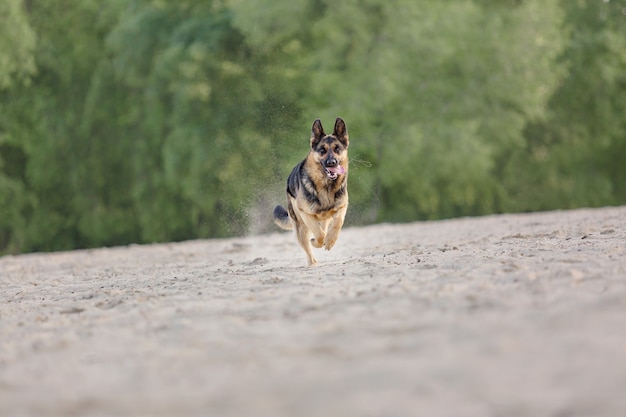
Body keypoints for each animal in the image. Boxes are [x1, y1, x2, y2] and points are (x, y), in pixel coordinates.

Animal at [272, 117, 348, 264]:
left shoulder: (342, 207)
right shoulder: (305, 213)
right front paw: (318, 242)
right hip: (300, 227)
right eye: (322, 150)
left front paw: (330, 240)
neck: (326, 186)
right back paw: (313, 262)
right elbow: (318, 234)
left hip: (324, 219)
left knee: (325, 227)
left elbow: (337, 224)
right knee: (309, 249)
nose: (332, 163)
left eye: (337, 149)